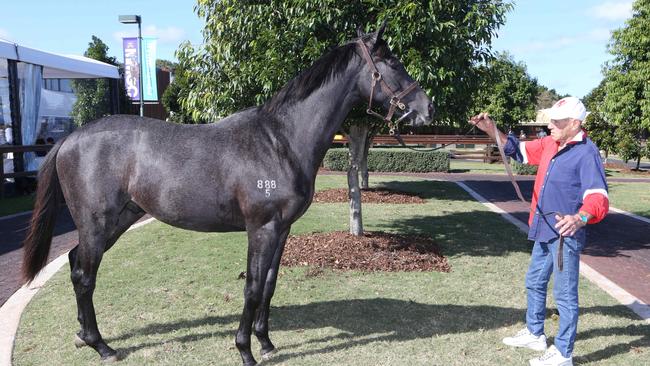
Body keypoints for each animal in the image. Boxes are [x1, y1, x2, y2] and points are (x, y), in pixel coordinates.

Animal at [21, 23, 430, 366]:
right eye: (392, 63)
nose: (427, 108)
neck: (279, 141)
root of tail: (71, 138)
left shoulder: (281, 230)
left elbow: (269, 284)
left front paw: (266, 343)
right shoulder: (261, 228)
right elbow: (252, 287)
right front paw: (245, 350)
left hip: (118, 220)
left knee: (75, 262)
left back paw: (82, 335)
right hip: (98, 222)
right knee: (84, 275)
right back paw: (102, 346)